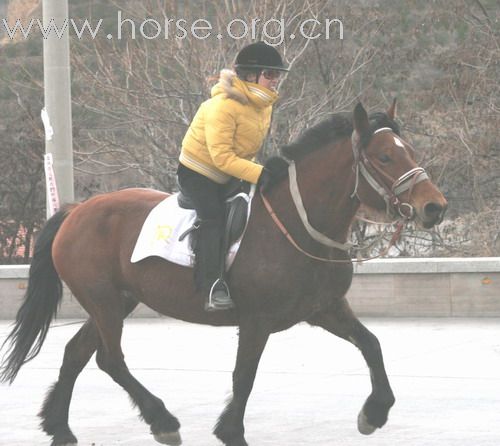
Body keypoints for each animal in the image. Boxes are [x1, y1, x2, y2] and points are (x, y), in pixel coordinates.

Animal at [0, 102, 446, 446]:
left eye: (410, 151)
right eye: (385, 157)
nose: (434, 206)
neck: (296, 223)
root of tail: (76, 210)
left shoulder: (324, 308)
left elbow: (371, 344)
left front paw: (375, 411)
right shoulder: (257, 320)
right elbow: (244, 375)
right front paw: (231, 430)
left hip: (114, 302)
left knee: (77, 352)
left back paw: (60, 428)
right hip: (104, 302)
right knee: (110, 359)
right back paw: (162, 421)